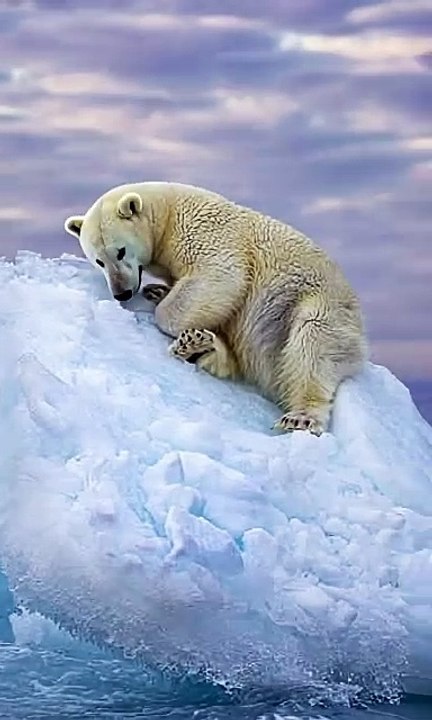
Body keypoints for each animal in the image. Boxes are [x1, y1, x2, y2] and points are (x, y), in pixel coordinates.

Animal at [64, 181, 367, 436]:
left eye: (121, 251)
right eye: (98, 260)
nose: (122, 292)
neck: (167, 213)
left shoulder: (204, 233)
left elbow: (221, 276)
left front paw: (164, 306)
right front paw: (158, 291)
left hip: (314, 305)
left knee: (312, 346)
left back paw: (300, 417)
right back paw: (199, 346)